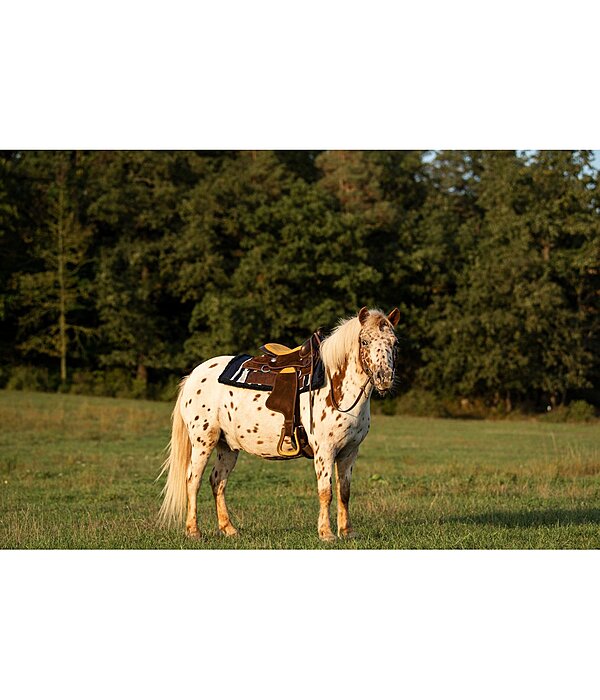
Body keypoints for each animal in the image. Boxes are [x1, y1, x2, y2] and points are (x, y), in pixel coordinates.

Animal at [158, 306, 400, 541]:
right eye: (365, 341)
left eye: (394, 343)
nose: (384, 378)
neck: (335, 386)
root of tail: (193, 376)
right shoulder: (325, 451)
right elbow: (326, 492)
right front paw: (326, 533)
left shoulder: (350, 451)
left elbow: (345, 492)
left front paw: (347, 532)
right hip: (203, 442)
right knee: (193, 480)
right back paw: (193, 531)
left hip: (227, 447)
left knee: (218, 481)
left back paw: (229, 529)